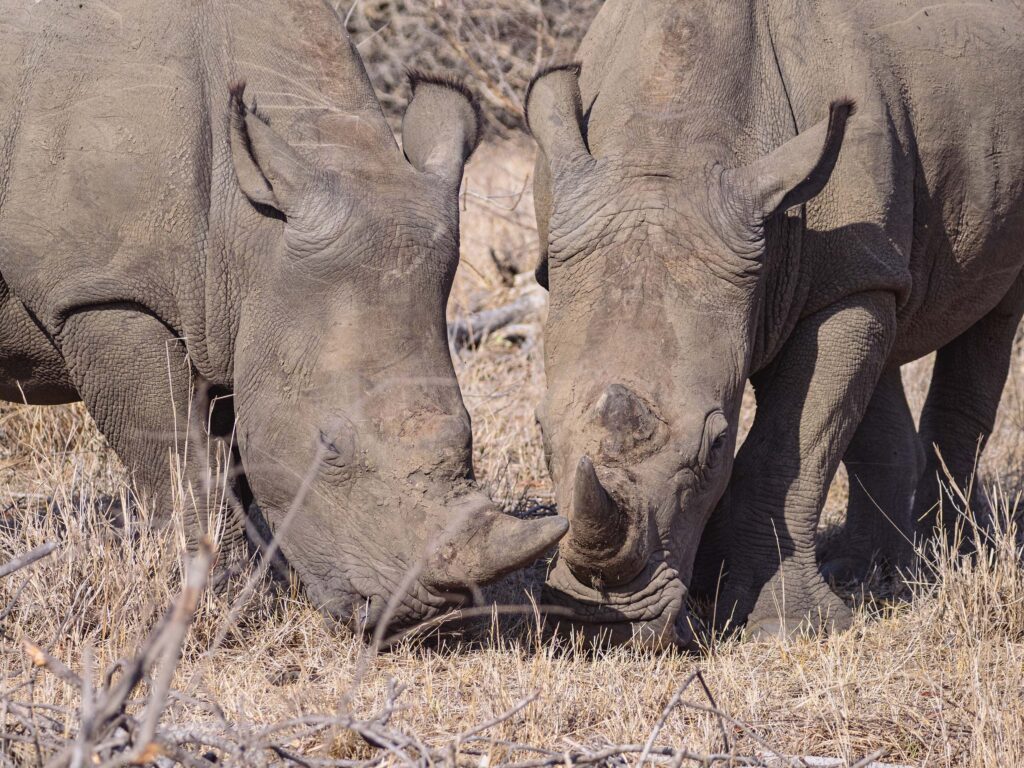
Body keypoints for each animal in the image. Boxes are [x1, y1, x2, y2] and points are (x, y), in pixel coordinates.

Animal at [0, 0, 567, 633]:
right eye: (330, 448)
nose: (425, 618)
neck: (249, 229)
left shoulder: (232, 312)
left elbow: (235, 457)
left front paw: (265, 583)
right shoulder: (103, 294)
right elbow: (176, 457)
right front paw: (217, 595)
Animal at [525, 0, 1024, 646]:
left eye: (715, 446)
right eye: (539, 433)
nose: (599, 623)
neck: (664, 160)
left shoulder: (841, 272)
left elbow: (795, 444)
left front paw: (785, 628)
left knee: (989, 318)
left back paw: (945, 562)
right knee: (885, 333)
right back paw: (868, 571)